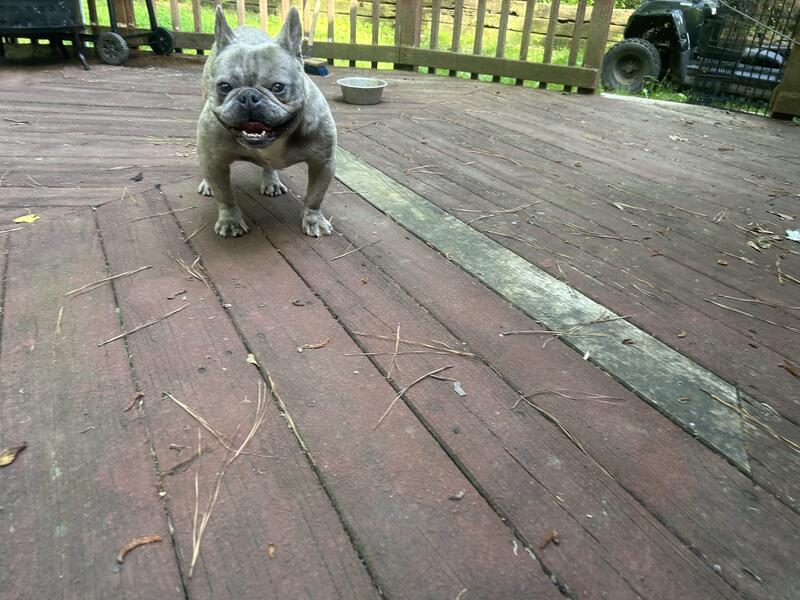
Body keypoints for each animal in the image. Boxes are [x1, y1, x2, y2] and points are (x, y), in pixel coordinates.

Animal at [196, 6, 336, 238]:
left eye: (278, 87)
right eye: (224, 87)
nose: (248, 96)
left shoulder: (323, 163)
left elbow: (315, 197)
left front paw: (313, 219)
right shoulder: (214, 162)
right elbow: (225, 196)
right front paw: (230, 221)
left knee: (268, 166)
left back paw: (271, 181)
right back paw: (207, 185)